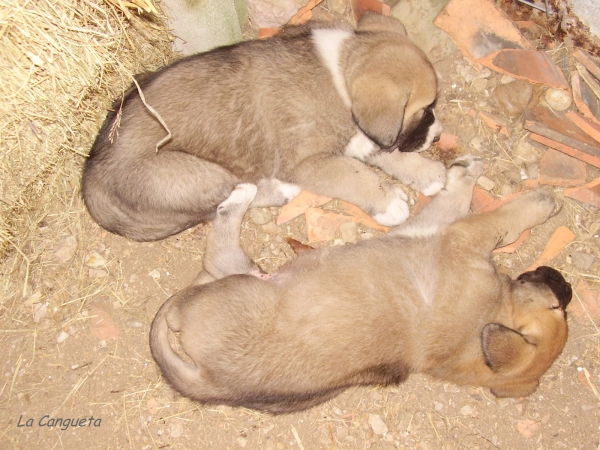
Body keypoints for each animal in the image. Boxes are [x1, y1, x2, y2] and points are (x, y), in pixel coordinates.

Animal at [82, 12, 442, 243]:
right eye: (425, 110)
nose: (438, 135)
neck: (338, 70)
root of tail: (90, 181)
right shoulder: (307, 162)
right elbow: (354, 173)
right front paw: (388, 201)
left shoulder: (358, 135)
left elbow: (385, 151)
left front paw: (426, 173)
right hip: (195, 174)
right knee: (224, 200)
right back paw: (280, 190)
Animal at [150, 156, 572, 414]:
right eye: (560, 306)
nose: (564, 283)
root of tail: (212, 383)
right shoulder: (439, 230)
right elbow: (474, 206)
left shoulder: (455, 234)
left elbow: (499, 219)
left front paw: (535, 200)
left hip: (243, 284)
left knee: (216, 253)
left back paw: (242, 193)